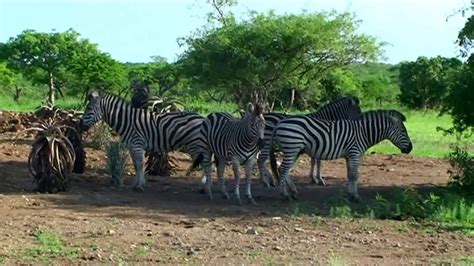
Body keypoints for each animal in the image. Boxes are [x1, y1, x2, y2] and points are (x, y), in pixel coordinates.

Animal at [268, 109, 412, 201]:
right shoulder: (355, 154)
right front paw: (355, 197)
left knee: (285, 170)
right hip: (292, 147)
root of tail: (280, 123)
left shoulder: (350, 156)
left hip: (295, 150)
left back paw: (293, 193)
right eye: (403, 131)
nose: (410, 148)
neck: (363, 132)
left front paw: (350, 194)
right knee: (283, 169)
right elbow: (354, 175)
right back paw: (285, 195)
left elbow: (349, 175)